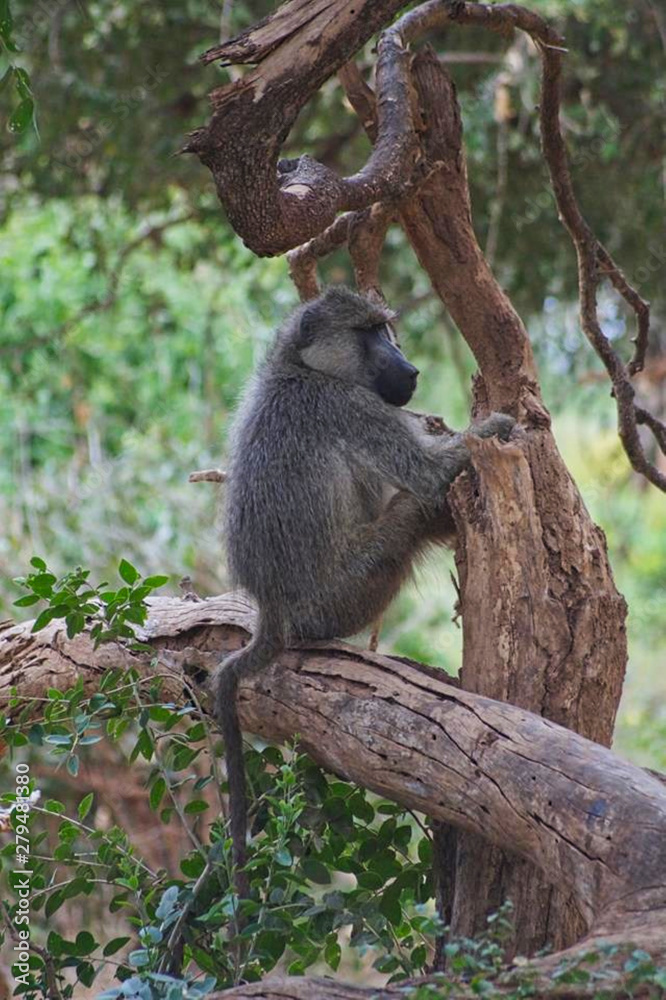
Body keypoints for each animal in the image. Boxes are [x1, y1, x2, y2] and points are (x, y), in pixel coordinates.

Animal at [212, 286, 515, 895]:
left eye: (385, 328)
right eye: (366, 332)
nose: (410, 369)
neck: (299, 366)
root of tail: (273, 612)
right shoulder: (350, 406)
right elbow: (427, 476)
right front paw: (497, 427)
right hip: (351, 588)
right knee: (415, 505)